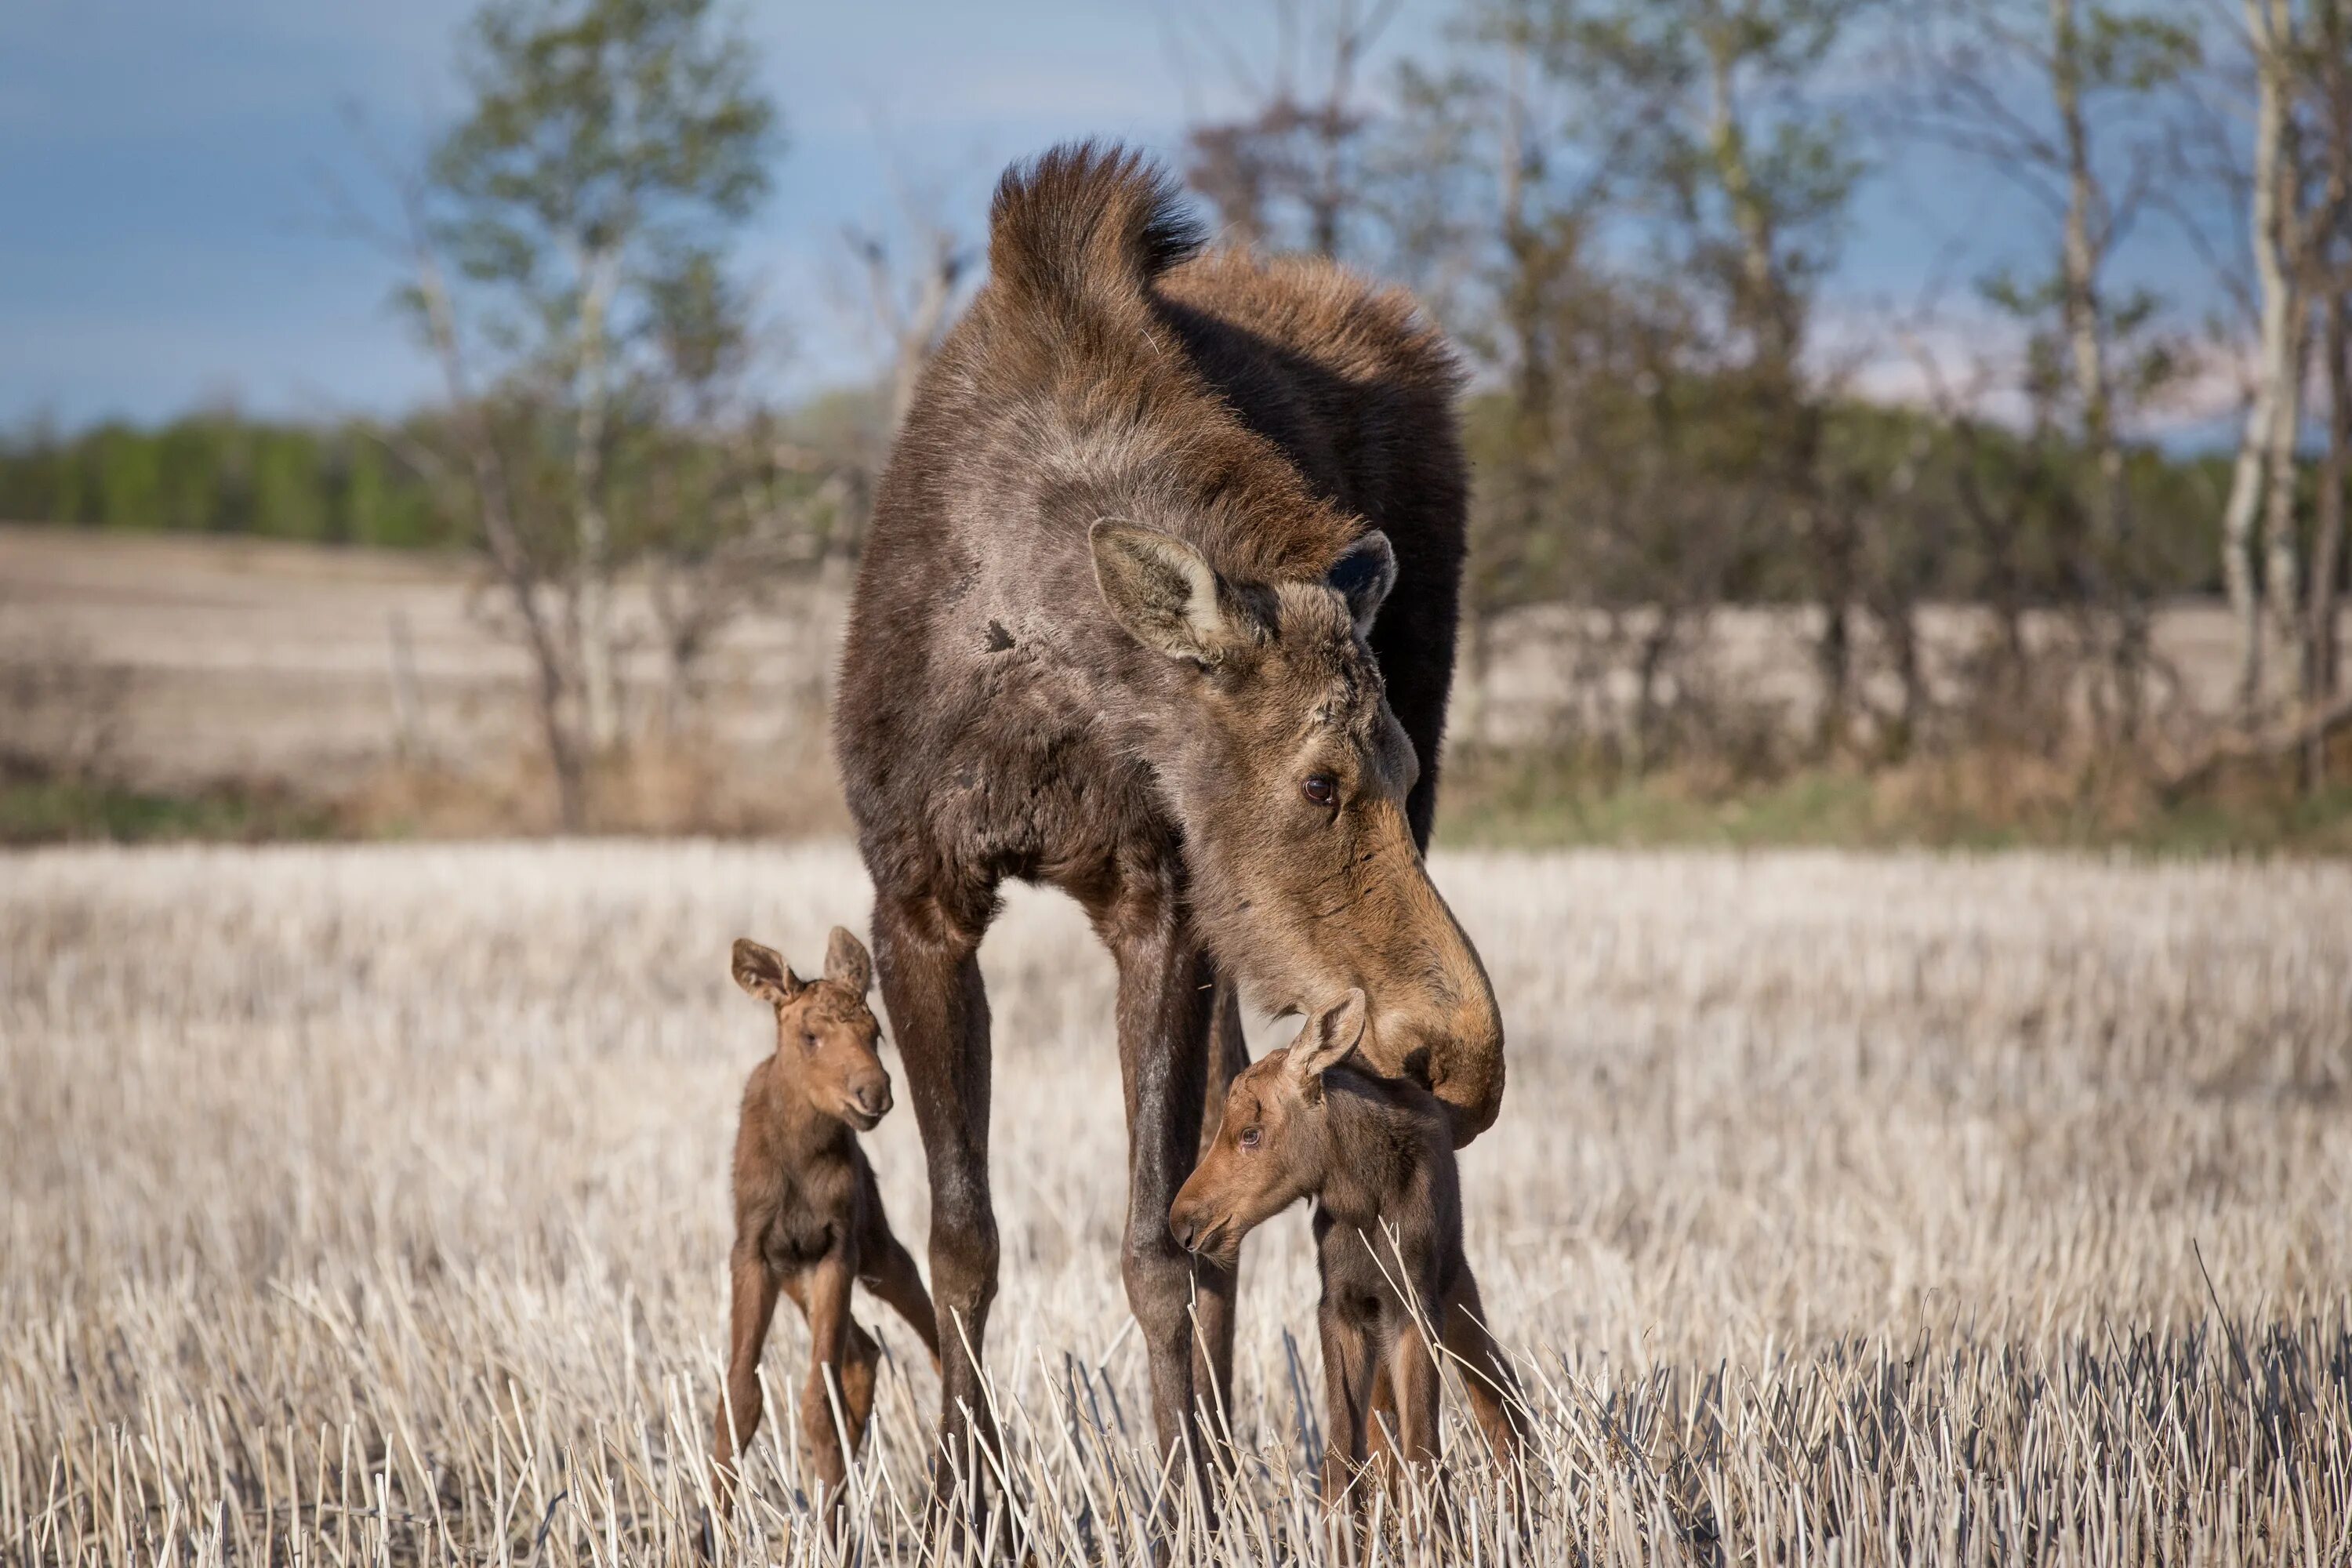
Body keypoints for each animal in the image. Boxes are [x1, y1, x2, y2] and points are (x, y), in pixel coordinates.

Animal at [710, 931, 941, 1523]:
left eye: (876, 1032)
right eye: (810, 1035)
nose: (874, 1093)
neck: (798, 1158)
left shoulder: (839, 1248)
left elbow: (818, 1399)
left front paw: (831, 1529)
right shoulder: (754, 1251)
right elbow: (739, 1396)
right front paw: (710, 1529)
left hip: (874, 1246)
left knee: (925, 1321)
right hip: (798, 1272)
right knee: (863, 1352)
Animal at [1162, 992, 1524, 1523]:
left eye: (1250, 1133)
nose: (1182, 1223)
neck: (1361, 1195)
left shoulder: (1414, 1308)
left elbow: (1423, 1452)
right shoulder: (1340, 1307)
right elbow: (1341, 1456)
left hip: (1456, 1287)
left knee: (1502, 1404)